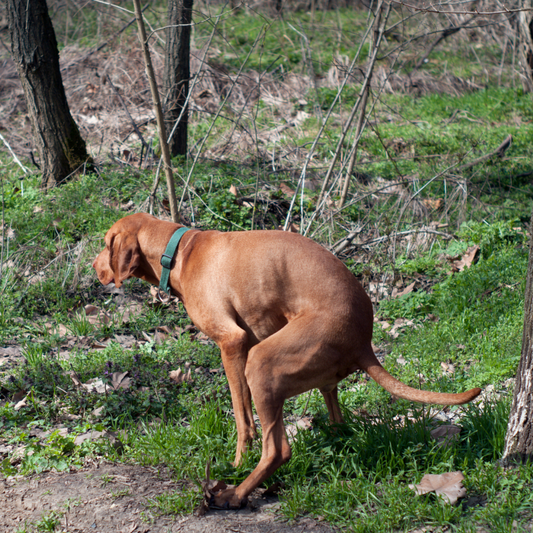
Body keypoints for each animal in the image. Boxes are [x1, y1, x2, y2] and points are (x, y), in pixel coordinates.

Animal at [93, 212, 480, 508]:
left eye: (106, 242)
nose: (94, 268)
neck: (180, 251)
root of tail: (364, 342)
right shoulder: (245, 343)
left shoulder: (233, 344)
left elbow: (242, 419)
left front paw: (237, 461)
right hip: (312, 375)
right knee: (337, 421)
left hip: (261, 363)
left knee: (278, 450)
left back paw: (235, 495)